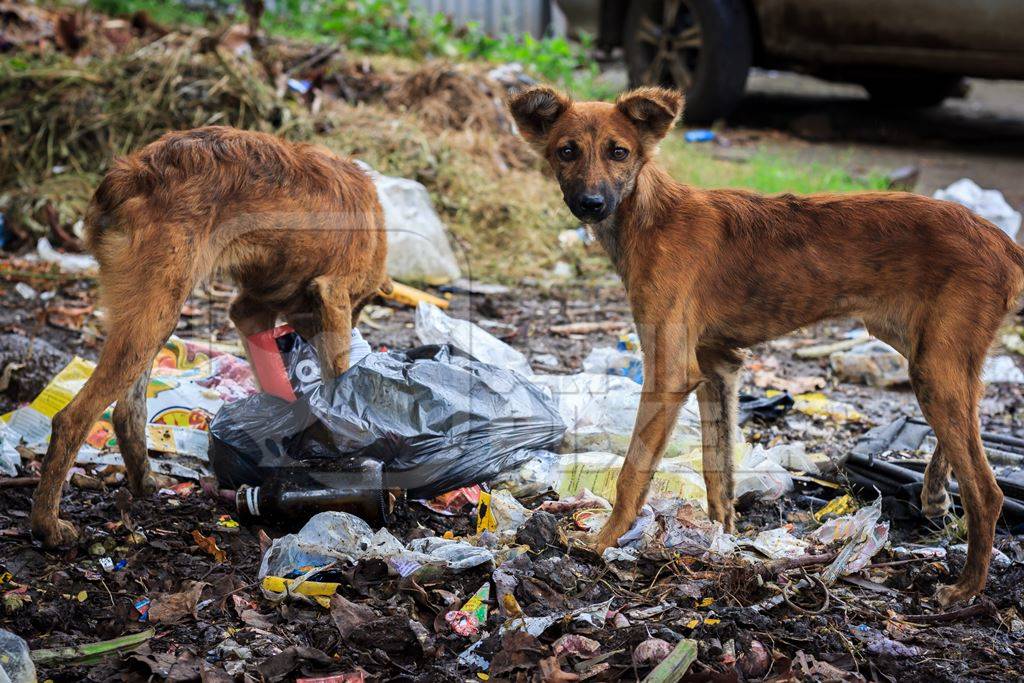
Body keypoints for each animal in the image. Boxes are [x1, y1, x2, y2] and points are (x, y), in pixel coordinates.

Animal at [29, 124, 387, 548]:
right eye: (359, 305)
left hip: (152, 315)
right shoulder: (333, 296)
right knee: (72, 418)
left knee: (126, 411)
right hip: (156, 314)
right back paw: (47, 524)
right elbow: (337, 376)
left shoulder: (250, 310)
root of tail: (128, 174)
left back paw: (144, 483)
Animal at [507, 83, 1024, 602]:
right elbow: (718, 470)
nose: (591, 203)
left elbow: (633, 470)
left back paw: (966, 587)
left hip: (933, 366)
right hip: (925, 349)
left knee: (987, 489)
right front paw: (721, 540)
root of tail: (1003, 241)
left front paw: (604, 541)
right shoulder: (717, 366)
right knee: (968, 422)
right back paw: (935, 492)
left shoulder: (670, 372)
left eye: (619, 152)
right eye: (566, 151)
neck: (649, 215)